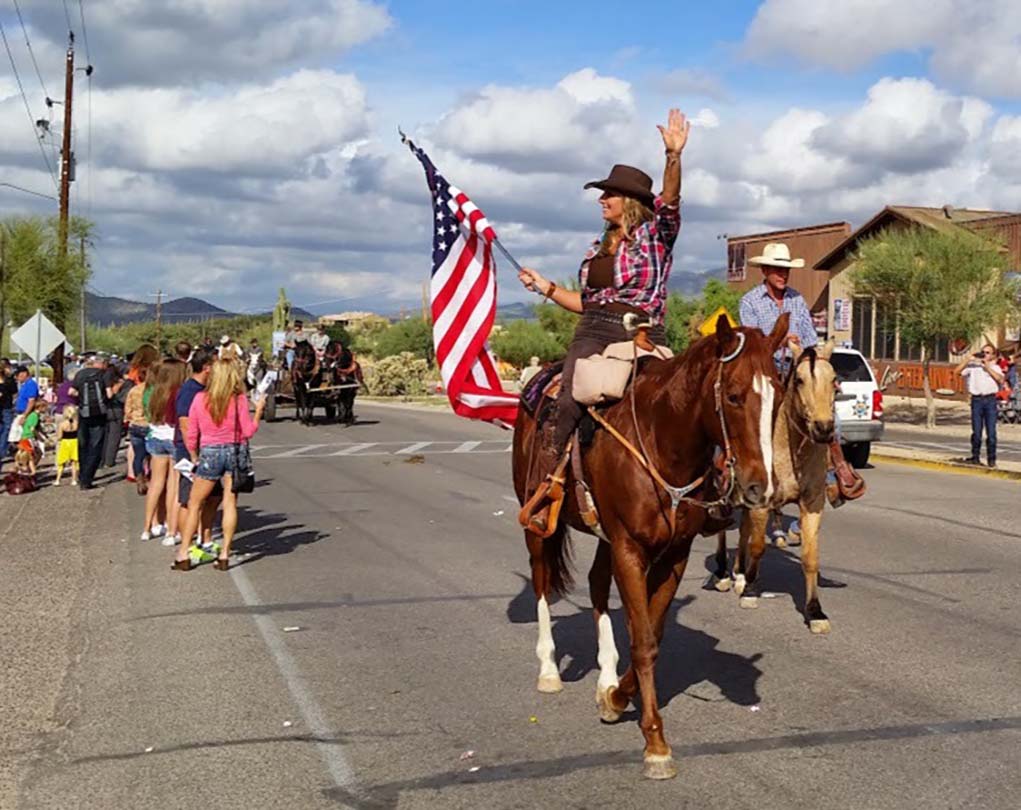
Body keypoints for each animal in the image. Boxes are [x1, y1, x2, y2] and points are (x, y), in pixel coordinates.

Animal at [510, 314, 788, 776]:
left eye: (779, 396)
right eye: (732, 396)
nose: (759, 488)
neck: (662, 443)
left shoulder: (674, 554)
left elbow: (652, 633)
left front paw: (616, 696)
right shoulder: (629, 548)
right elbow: (642, 642)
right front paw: (655, 742)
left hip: (604, 538)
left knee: (596, 585)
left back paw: (605, 674)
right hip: (537, 524)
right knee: (542, 581)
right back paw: (548, 669)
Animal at [714, 339, 841, 633]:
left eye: (834, 380)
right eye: (800, 380)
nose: (823, 429)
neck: (790, 447)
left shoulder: (812, 503)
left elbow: (810, 557)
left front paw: (815, 612)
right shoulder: (762, 502)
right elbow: (759, 546)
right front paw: (750, 592)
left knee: (743, 532)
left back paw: (739, 574)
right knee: (724, 531)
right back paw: (724, 575)